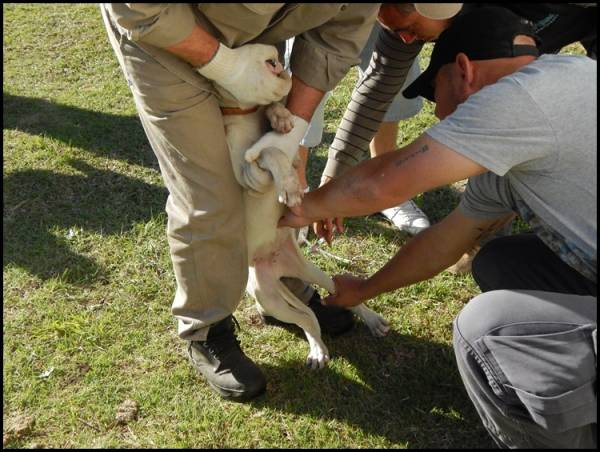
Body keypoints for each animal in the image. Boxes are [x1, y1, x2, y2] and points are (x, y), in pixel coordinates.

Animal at [216, 61, 390, 370]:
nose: (277, 66)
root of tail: (274, 263)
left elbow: (277, 141)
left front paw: (280, 116)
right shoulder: (248, 173)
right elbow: (270, 151)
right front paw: (289, 185)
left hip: (308, 270)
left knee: (337, 295)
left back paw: (370, 320)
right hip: (267, 295)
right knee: (306, 320)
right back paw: (318, 350)